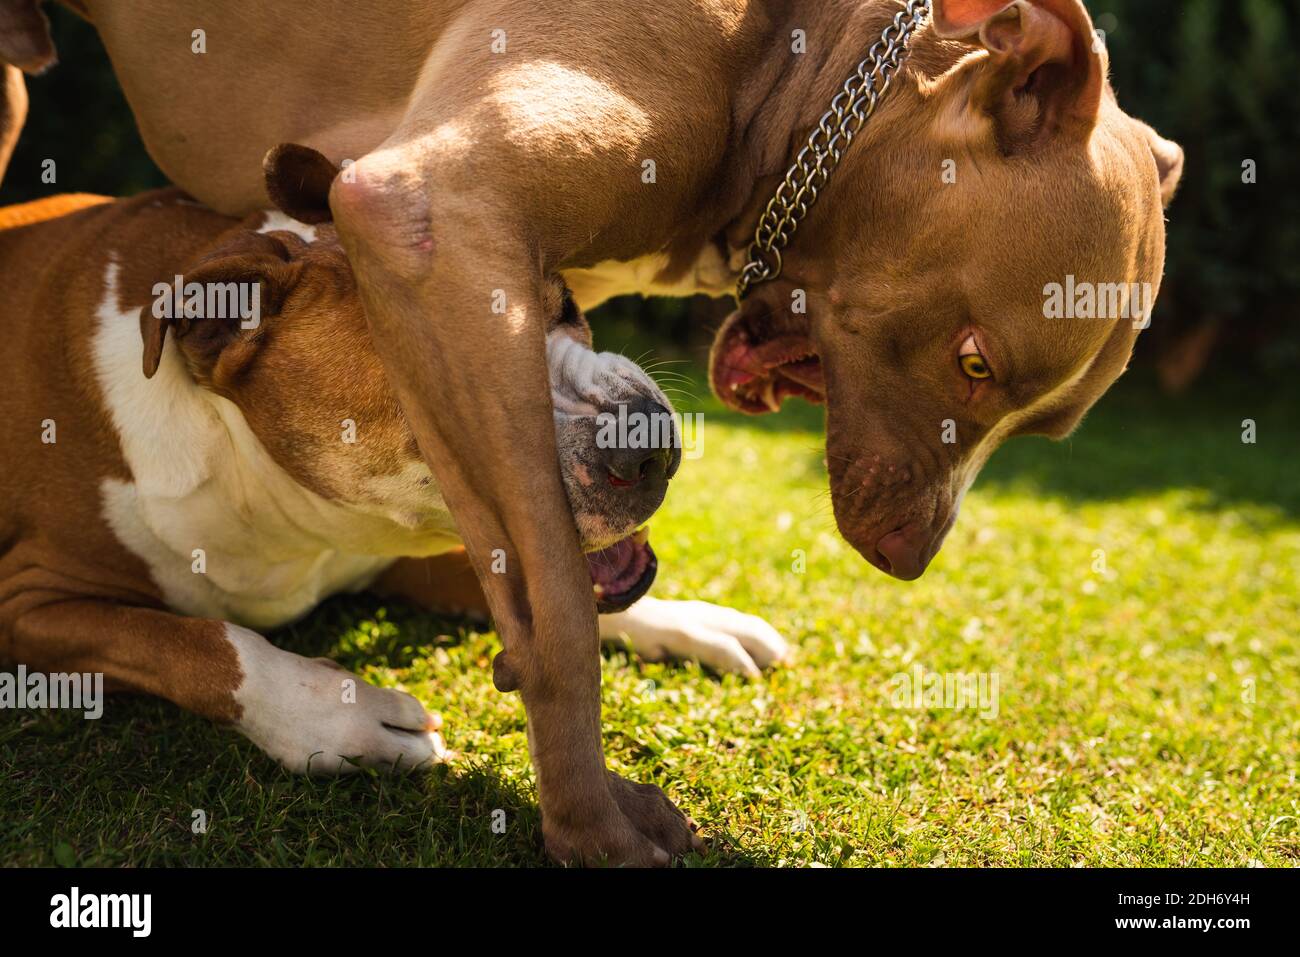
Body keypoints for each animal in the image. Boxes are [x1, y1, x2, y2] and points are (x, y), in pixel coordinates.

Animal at [0, 179, 785, 774]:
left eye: (564, 306)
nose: (651, 440)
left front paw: (691, 619)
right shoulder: (27, 604)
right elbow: (203, 643)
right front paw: (339, 714)